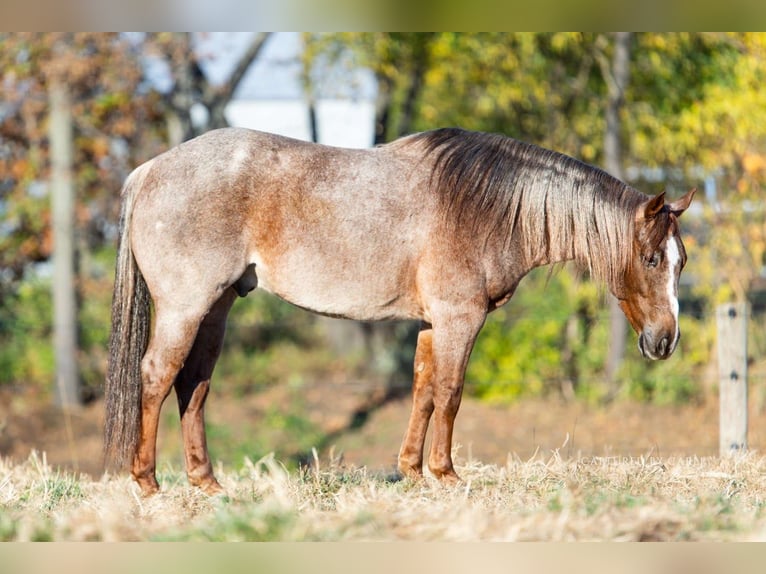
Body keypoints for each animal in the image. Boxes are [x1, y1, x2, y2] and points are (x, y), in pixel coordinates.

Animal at [105, 128, 700, 498]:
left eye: (682, 261)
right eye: (652, 259)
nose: (665, 341)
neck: (485, 206)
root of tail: (149, 170)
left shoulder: (433, 323)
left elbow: (423, 390)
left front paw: (412, 472)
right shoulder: (461, 318)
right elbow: (451, 392)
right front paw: (446, 473)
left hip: (217, 308)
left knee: (194, 385)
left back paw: (205, 483)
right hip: (186, 307)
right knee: (157, 376)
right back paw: (147, 482)